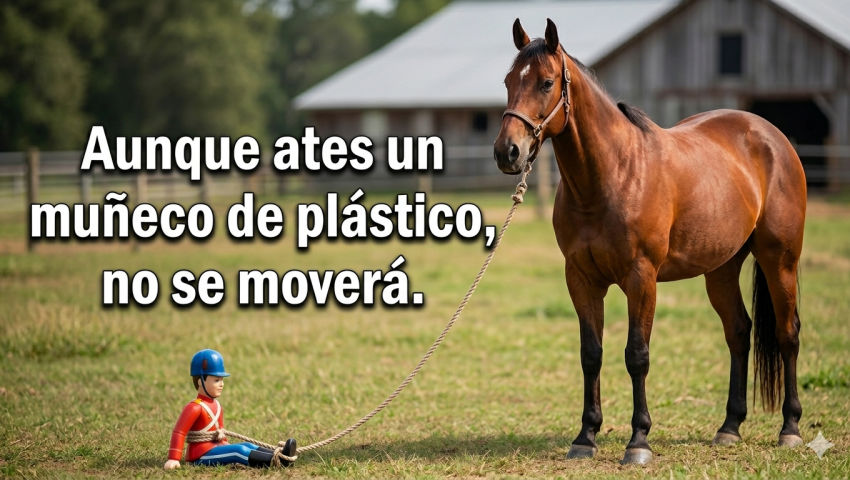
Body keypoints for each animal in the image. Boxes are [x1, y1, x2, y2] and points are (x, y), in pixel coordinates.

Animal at [493, 19, 806, 465]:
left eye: (546, 82)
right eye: (508, 81)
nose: (508, 152)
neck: (612, 175)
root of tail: (772, 137)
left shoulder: (641, 279)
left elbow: (636, 355)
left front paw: (638, 441)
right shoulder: (581, 280)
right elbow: (592, 354)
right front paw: (585, 437)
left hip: (780, 260)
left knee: (787, 333)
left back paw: (790, 428)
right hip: (721, 269)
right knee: (738, 332)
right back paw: (729, 427)